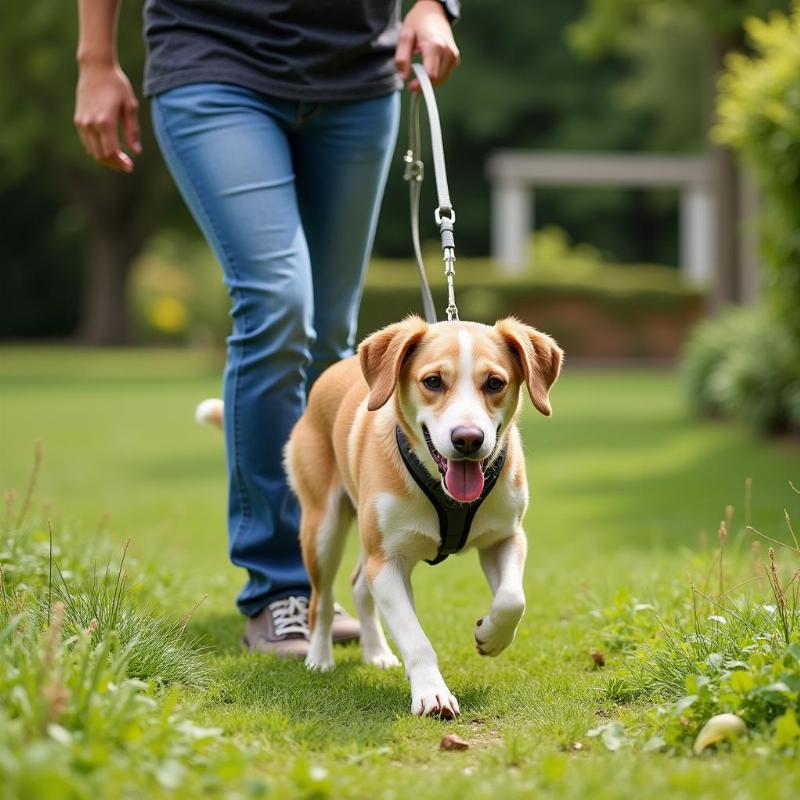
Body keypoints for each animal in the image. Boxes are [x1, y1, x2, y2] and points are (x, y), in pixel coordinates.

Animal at [286, 316, 564, 716]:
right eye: (433, 381)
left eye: (495, 383)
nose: (468, 438)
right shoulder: (387, 562)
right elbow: (416, 638)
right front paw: (432, 693)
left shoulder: (506, 538)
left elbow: (512, 599)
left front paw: (490, 636)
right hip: (323, 528)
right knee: (320, 601)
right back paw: (319, 657)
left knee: (358, 584)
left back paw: (377, 652)